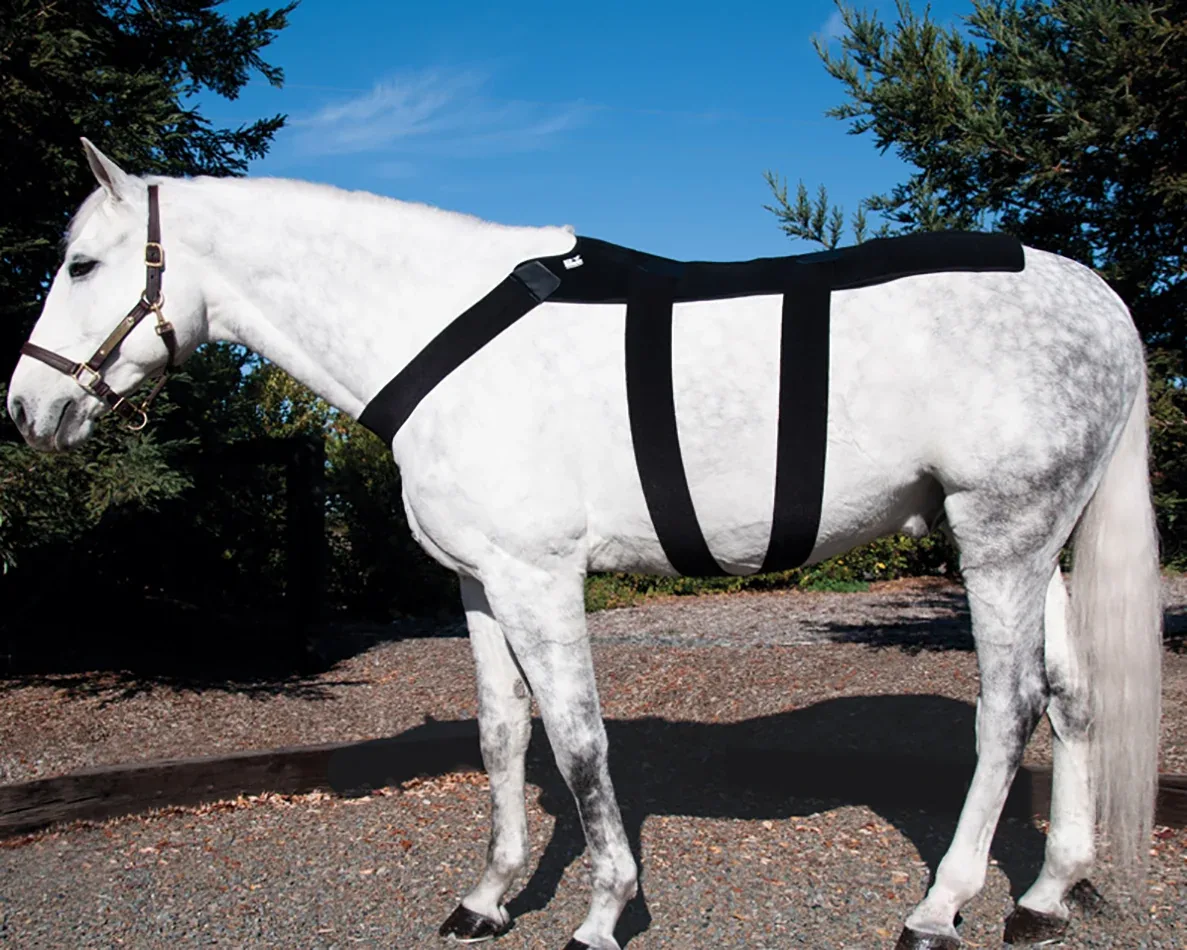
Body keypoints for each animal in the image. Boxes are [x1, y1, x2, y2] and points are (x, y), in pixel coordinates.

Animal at [7, 140, 1162, 950]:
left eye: (82, 263)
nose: (25, 408)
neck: (442, 330)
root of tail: (1097, 297)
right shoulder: (479, 585)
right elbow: (501, 738)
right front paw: (486, 896)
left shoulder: (539, 576)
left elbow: (576, 741)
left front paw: (604, 908)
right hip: (1033, 542)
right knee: (1072, 697)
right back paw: (1045, 895)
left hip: (998, 537)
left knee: (1008, 710)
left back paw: (940, 905)